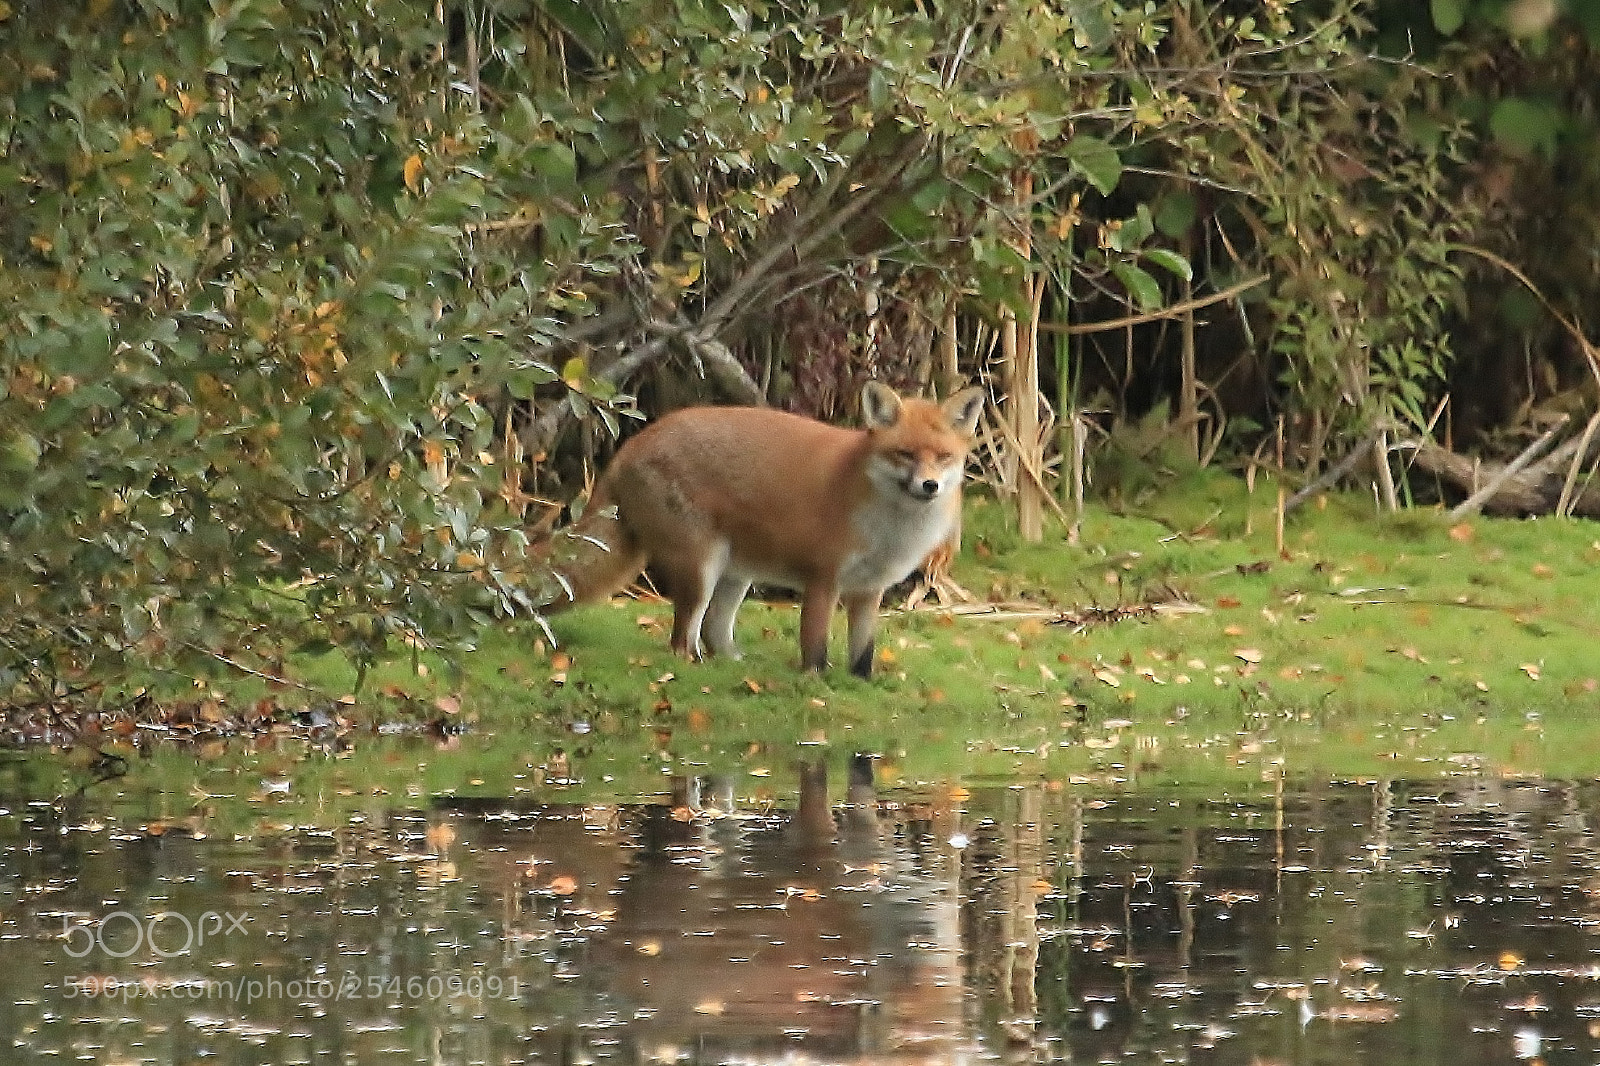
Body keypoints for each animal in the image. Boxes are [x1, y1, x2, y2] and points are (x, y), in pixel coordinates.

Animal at [543, 381, 985, 678]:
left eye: (944, 457)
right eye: (904, 454)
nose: (929, 486)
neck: (888, 527)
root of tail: (629, 445)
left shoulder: (868, 590)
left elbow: (863, 654)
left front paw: (860, 685)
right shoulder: (823, 578)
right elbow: (815, 646)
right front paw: (815, 686)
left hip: (736, 575)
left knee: (714, 633)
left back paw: (736, 669)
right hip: (701, 569)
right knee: (683, 640)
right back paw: (698, 673)